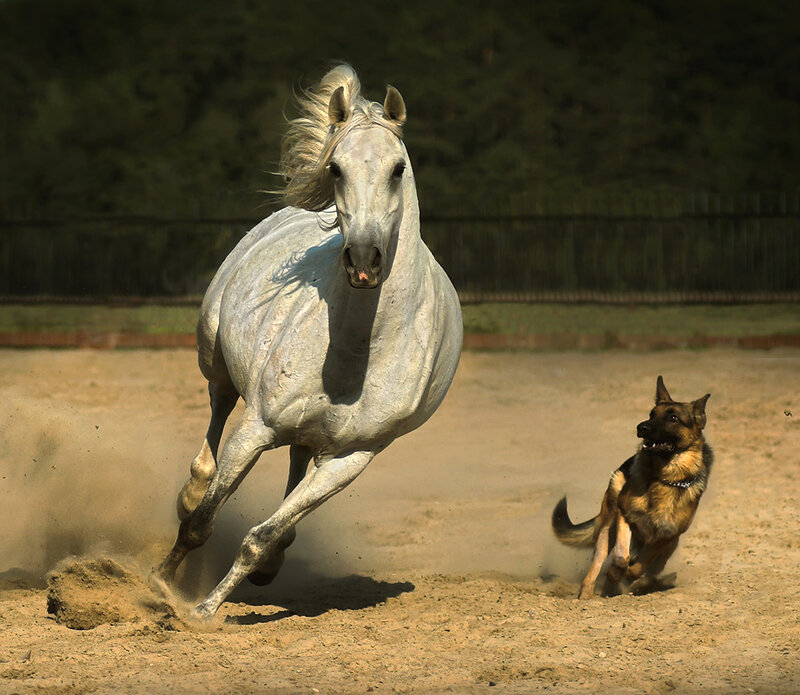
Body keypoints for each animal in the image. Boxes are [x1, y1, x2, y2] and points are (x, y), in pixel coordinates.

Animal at [156, 65, 463, 619]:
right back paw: (191, 489)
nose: (363, 260)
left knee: (295, 465)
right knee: (216, 417)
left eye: (398, 169)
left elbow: (260, 536)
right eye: (336, 168)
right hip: (215, 359)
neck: (357, 350)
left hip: (313, 442)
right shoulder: (256, 427)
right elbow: (203, 520)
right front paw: (159, 586)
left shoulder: (350, 459)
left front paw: (205, 610)